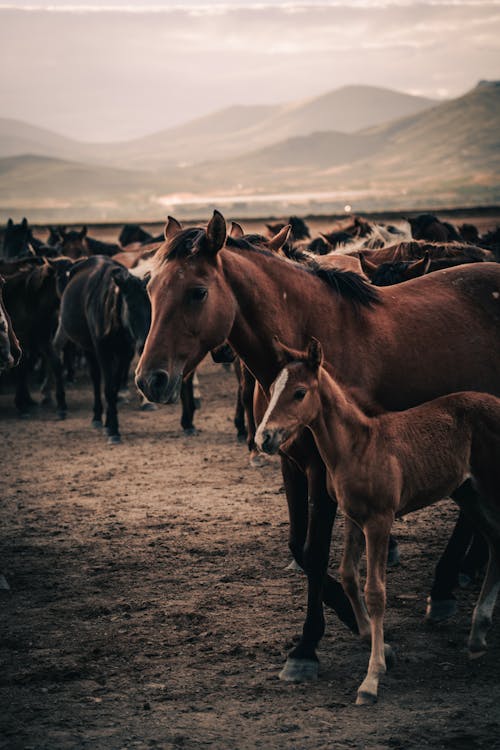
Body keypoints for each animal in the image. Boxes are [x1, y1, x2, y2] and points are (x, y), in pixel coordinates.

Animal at [254, 338, 500, 708]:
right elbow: (347, 575)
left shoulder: (380, 521)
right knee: (496, 541)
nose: (263, 438)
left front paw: (371, 678)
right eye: (271, 389)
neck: (358, 447)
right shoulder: (354, 518)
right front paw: (378, 642)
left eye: (299, 393)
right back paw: (477, 633)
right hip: (468, 494)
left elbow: (375, 592)